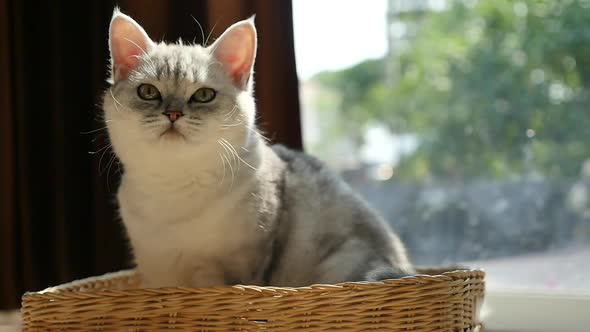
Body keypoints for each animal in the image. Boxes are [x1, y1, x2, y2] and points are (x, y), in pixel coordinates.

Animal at [103, 7, 416, 288]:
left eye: (203, 95)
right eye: (148, 92)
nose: (173, 114)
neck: (173, 187)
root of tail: (405, 266)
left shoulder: (228, 269)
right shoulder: (155, 273)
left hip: (344, 261)